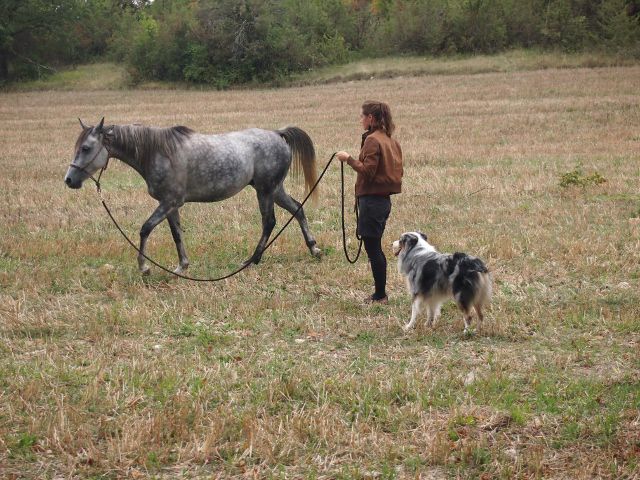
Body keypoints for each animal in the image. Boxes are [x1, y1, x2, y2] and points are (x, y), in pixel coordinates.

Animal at [64, 118, 322, 276]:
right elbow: (176, 234)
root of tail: (278, 134)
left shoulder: (169, 202)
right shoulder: (170, 206)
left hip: (265, 191)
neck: (158, 152)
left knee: (269, 222)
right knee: (298, 209)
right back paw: (314, 249)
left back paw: (252, 261)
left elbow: (145, 229)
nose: (69, 180)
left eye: (86, 148)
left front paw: (144, 267)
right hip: (275, 189)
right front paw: (182, 267)